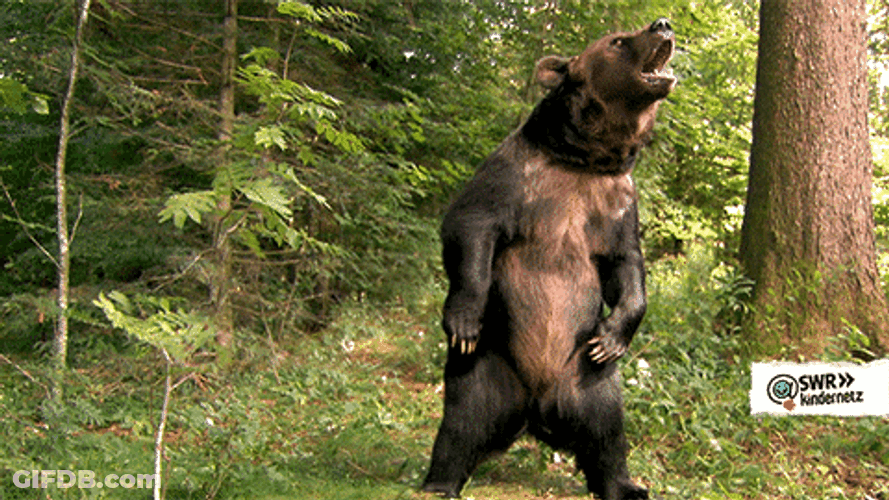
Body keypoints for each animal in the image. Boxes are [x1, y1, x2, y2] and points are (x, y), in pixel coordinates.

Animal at [422, 18, 676, 500]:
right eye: (617, 41)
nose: (663, 25)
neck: (585, 159)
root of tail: (535, 409)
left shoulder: (617, 202)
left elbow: (626, 264)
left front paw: (612, 336)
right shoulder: (516, 176)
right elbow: (470, 224)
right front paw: (463, 320)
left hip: (586, 380)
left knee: (607, 432)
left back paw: (627, 485)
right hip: (488, 369)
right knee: (461, 424)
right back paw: (439, 481)